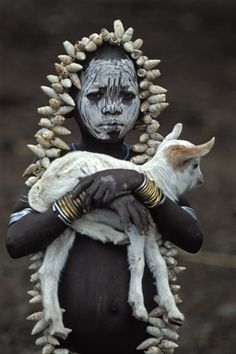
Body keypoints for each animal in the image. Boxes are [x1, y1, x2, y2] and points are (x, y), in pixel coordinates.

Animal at [29, 123, 214, 338]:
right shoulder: (134, 224)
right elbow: (138, 262)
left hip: (61, 227)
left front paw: (173, 311)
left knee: (49, 269)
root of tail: (41, 186)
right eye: (195, 165)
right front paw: (138, 308)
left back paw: (56, 324)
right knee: (78, 218)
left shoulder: (147, 230)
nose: (201, 180)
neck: (156, 178)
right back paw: (114, 231)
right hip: (75, 189)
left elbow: (159, 265)